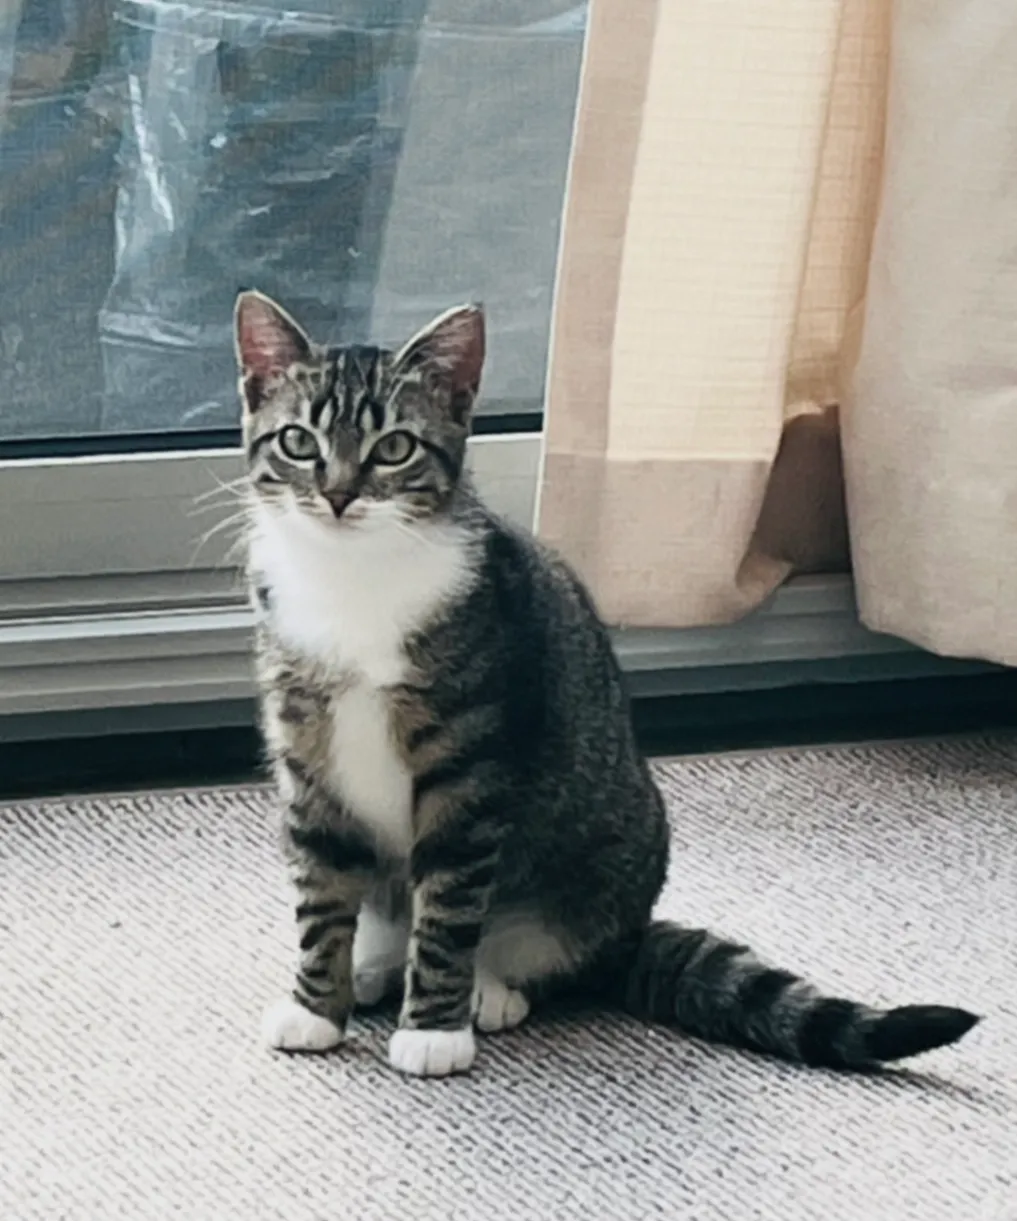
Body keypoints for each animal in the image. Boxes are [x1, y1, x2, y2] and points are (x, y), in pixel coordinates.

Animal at [234, 290, 979, 1078]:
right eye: (298, 442)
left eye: (394, 448)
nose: (339, 495)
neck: (352, 579)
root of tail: (631, 929)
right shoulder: (308, 758)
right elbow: (321, 896)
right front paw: (318, 1005)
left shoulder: (470, 768)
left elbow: (449, 905)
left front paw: (433, 1028)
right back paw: (375, 967)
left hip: (597, 863)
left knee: (545, 952)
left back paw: (487, 989)